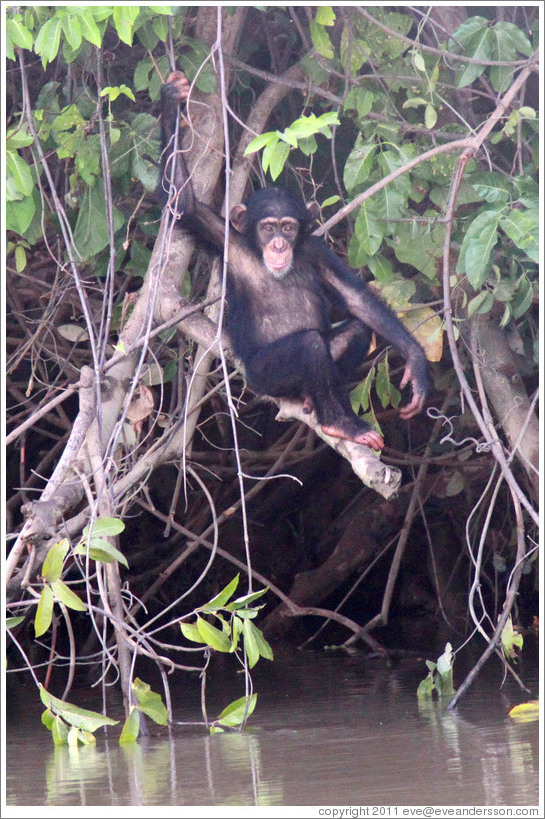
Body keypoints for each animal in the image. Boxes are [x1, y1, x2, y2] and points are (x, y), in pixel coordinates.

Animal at [159, 71, 428, 452]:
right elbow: (182, 202)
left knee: (356, 331)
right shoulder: (221, 238)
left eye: (287, 227)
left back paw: (322, 403)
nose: (278, 244)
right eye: (267, 227)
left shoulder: (317, 251)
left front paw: (416, 364)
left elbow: (356, 300)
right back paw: (338, 422)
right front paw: (171, 99)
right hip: (264, 377)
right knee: (309, 346)